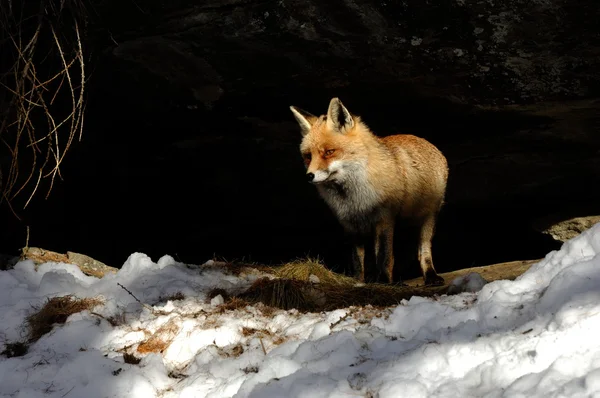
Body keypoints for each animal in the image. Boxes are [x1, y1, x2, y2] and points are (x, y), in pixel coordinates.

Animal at [288, 99, 448, 286]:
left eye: (329, 152)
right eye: (308, 156)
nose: (309, 176)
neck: (354, 197)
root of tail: (426, 141)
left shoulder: (384, 218)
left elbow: (384, 257)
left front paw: (384, 281)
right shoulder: (350, 224)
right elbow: (358, 260)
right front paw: (358, 281)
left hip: (428, 218)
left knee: (423, 250)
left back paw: (430, 276)